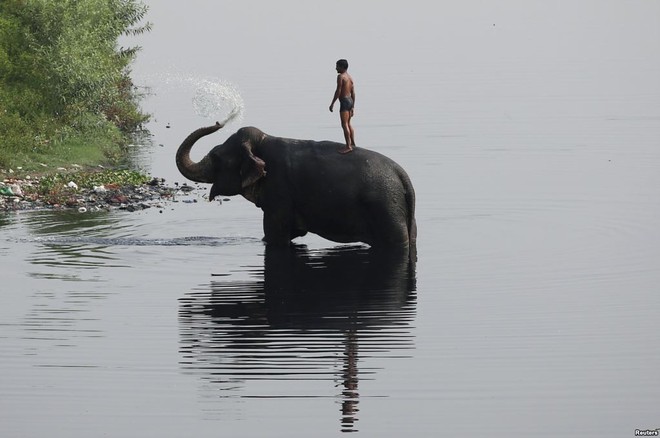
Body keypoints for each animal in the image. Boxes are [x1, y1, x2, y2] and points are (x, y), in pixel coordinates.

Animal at [175, 120, 418, 256]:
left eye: (216, 156)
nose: (219, 123)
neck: (263, 142)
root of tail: (404, 177)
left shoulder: (279, 193)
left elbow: (275, 234)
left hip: (385, 209)